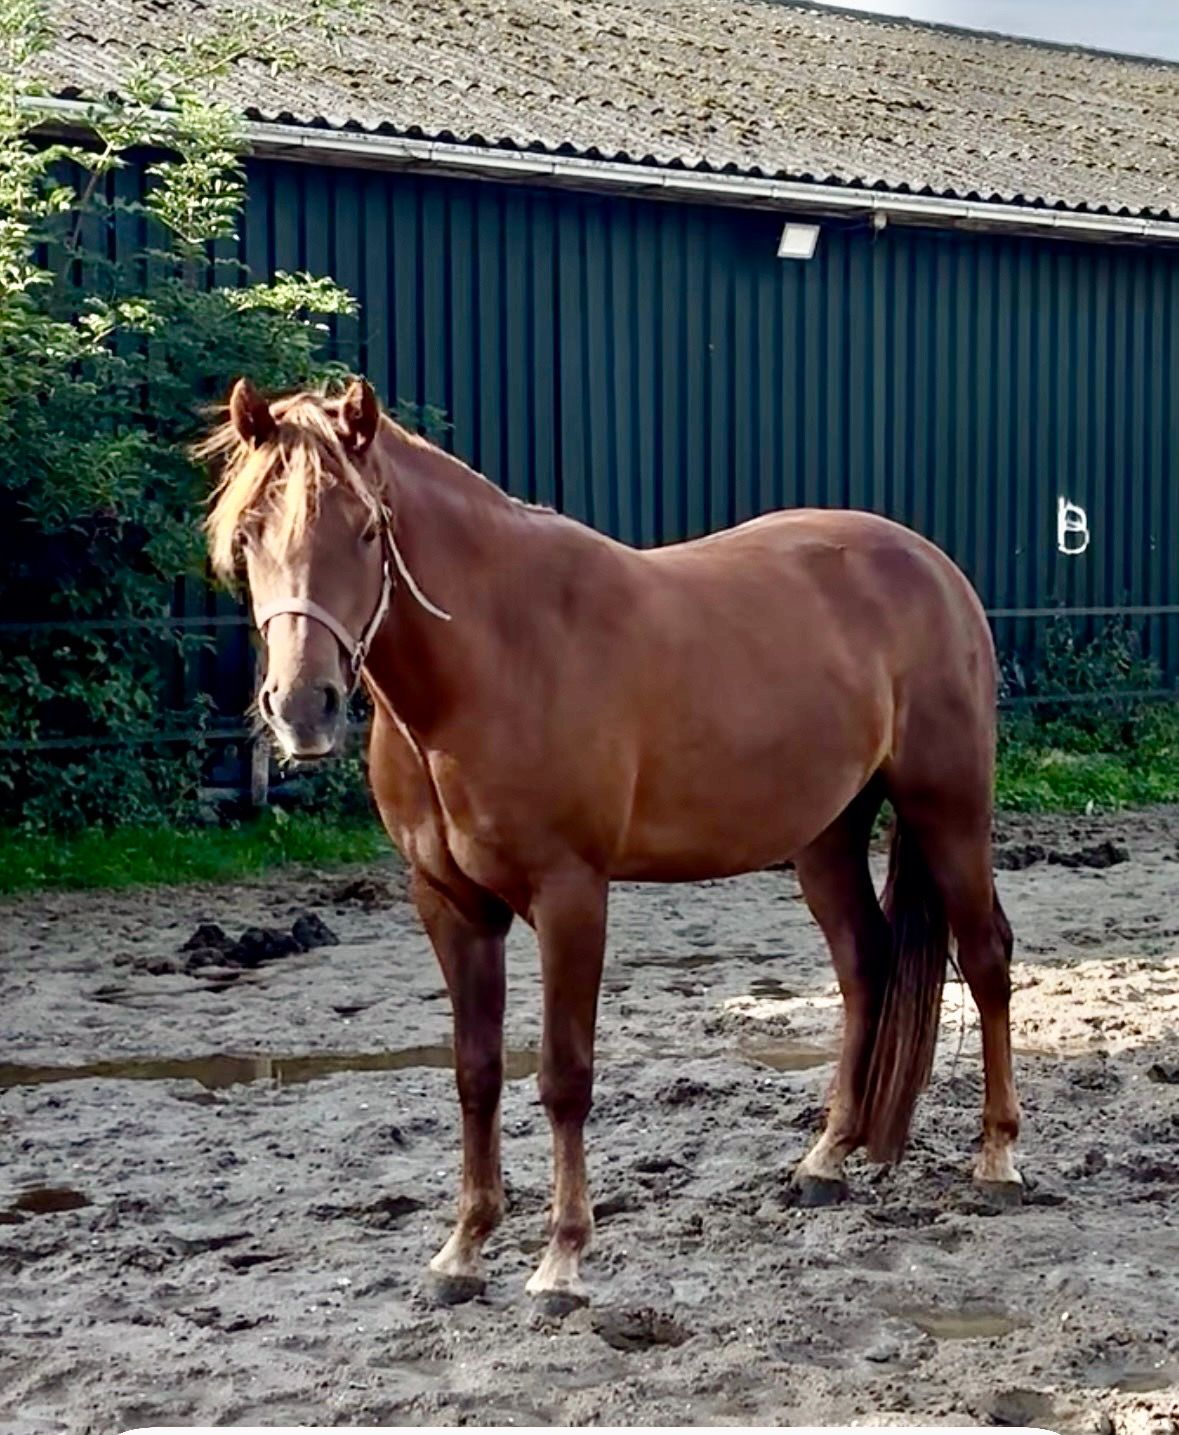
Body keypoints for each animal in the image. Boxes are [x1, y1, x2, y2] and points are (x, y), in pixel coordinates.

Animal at [201, 376, 1021, 1306]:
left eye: (367, 529)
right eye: (248, 533)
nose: (303, 708)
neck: (493, 660)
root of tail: (933, 566)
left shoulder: (569, 892)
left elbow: (564, 1074)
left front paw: (561, 1258)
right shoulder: (449, 903)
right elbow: (476, 1071)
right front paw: (463, 1248)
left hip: (947, 808)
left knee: (985, 956)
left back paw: (997, 1157)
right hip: (825, 836)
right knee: (865, 964)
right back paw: (826, 1160)